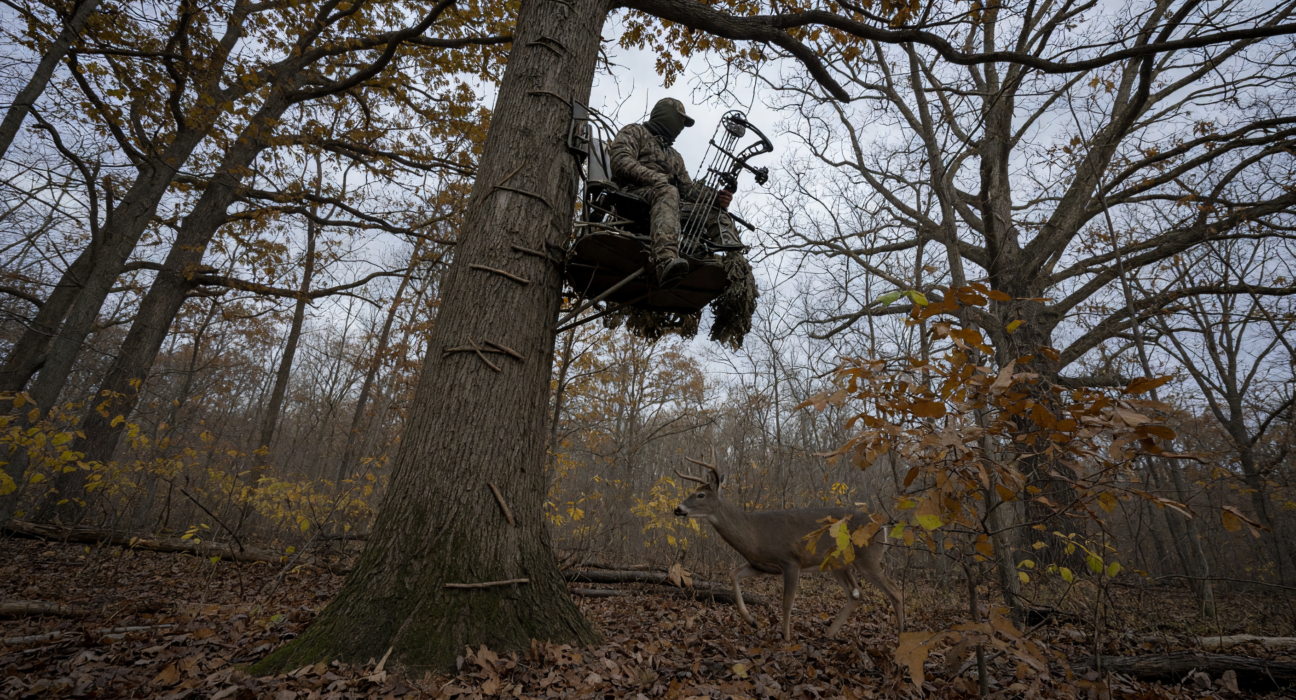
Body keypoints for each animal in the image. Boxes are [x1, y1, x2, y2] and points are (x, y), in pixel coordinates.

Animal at [672, 449, 905, 642]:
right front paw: (752, 621)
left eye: (701, 494)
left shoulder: (791, 561)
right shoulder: (760, 565)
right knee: (856, 594)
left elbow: (787, 602)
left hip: (867, 557)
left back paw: (901, 637)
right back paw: (828, 634)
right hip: (837, 564)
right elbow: (733, 574)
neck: (754, 533)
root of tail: (881, 525)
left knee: (894, 590)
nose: (678, 509)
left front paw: (786, 637)